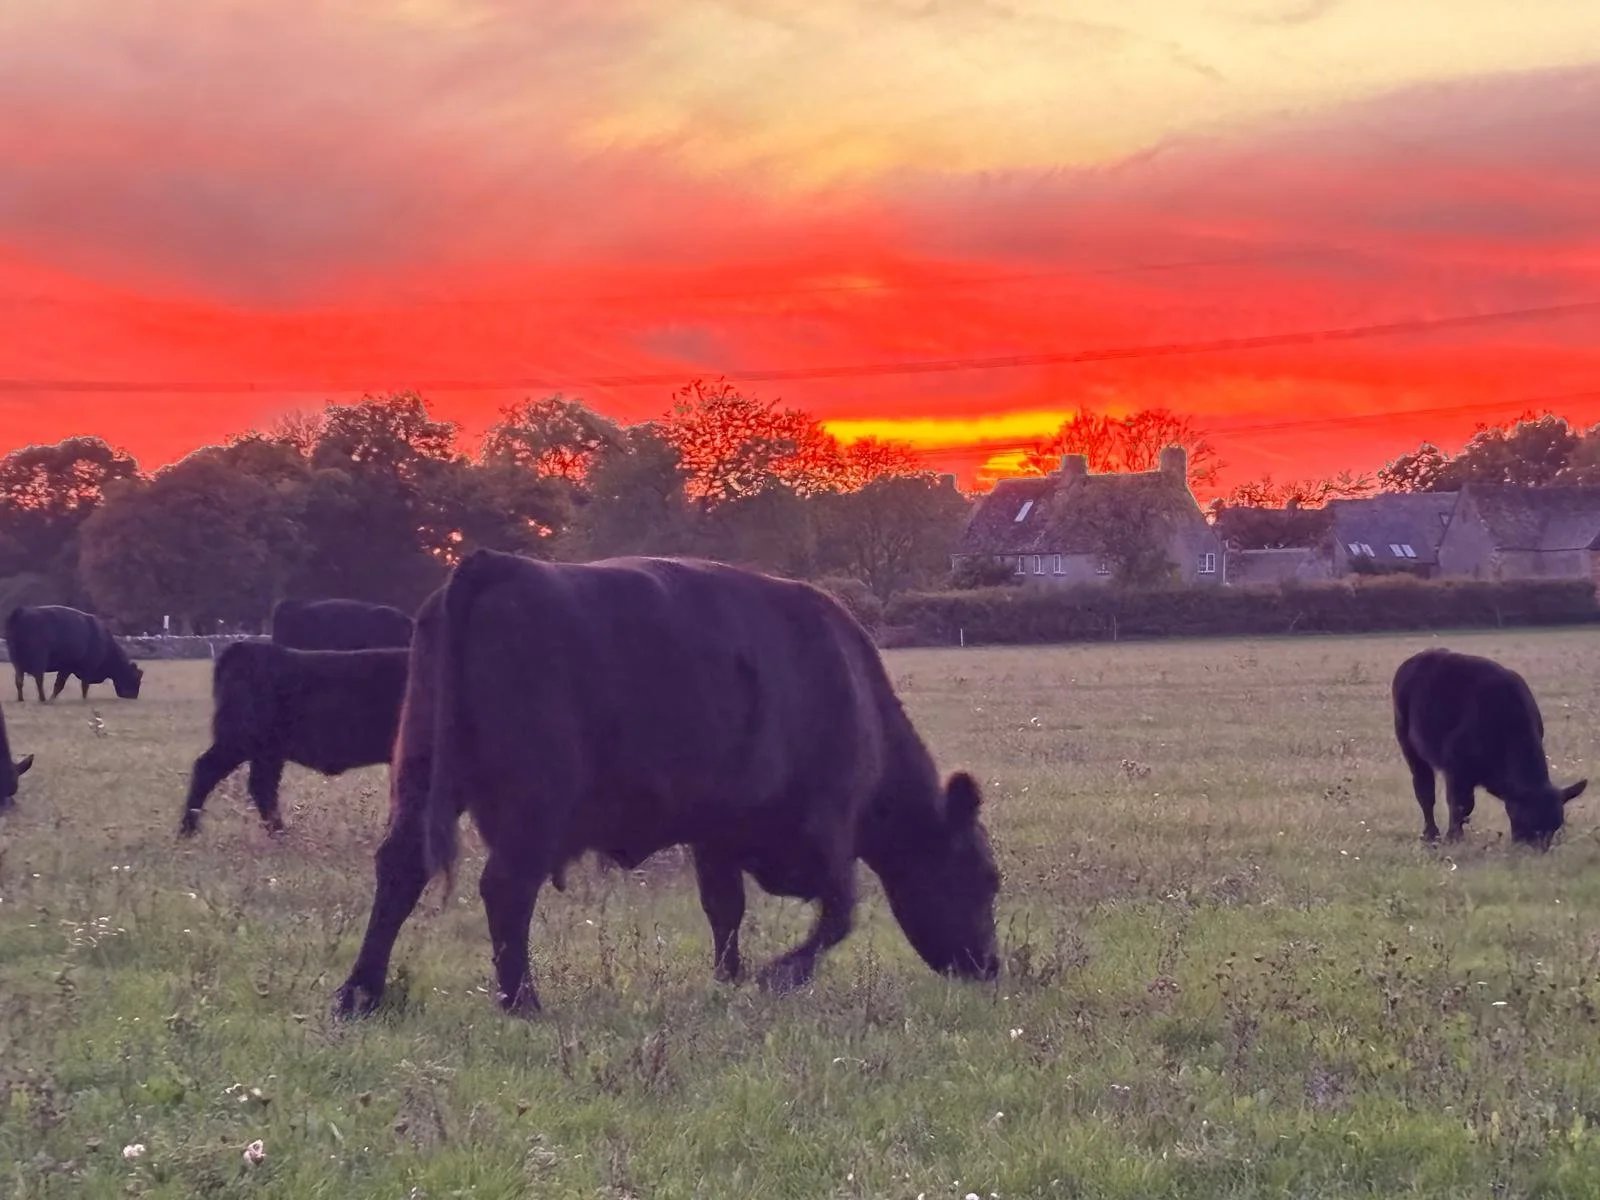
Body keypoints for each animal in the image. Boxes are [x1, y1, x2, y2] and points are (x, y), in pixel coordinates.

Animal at [5, 605, 143, 703]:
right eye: (136, 677)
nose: (134, 696)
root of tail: (21, 611)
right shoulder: (77, 668)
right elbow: (74, 685)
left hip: (17, 662)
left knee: (19, 681)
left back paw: (21, 699)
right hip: (39, 659)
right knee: (39, 679)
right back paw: (42, 699)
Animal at [178, 641, 408, 837]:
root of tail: (244, 648)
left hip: (267, 752)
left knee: (261, 785)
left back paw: (278, 832)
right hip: (240, 740)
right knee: (207, 769)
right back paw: (188, 831)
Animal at [334, 548, 1002, 1019]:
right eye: (987, 878)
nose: (990, 967)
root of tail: (499, 565)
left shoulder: (717, 831)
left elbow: (725, 909)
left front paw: (730, 978)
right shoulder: (831, 822)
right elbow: (840, 914)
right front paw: (777, 976)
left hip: (419, 777)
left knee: (400, 871)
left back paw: (359, 995)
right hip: (535, 803)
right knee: (505, 889)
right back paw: (522, 1002)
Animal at [1393, 647, 1588, 849]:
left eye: (1556, 825)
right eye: (1526, 820)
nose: (1535, 850)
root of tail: (1418, 658)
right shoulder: (1456, 768)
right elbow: (1460, 805)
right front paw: (1454, 838)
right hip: (1408, 745)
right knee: (1424, 791)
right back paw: (1431, 834)